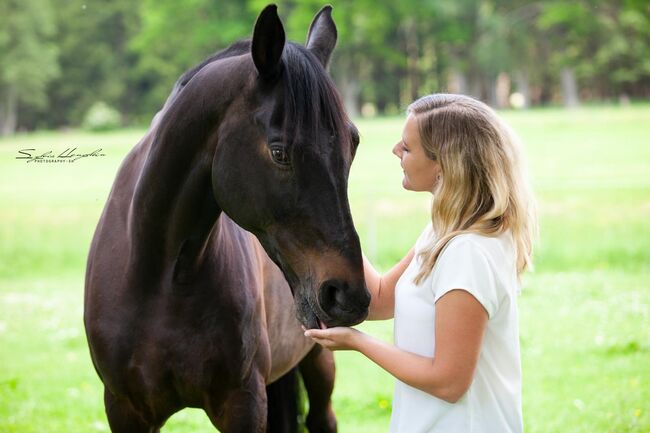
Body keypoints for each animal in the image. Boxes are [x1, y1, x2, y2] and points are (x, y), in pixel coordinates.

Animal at [82, 5, 370, 432]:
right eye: (279, 152)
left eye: (353, 144)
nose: (348, 294)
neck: (160, 276)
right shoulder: (124, 408)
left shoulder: (243, 403)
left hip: (318, 362)